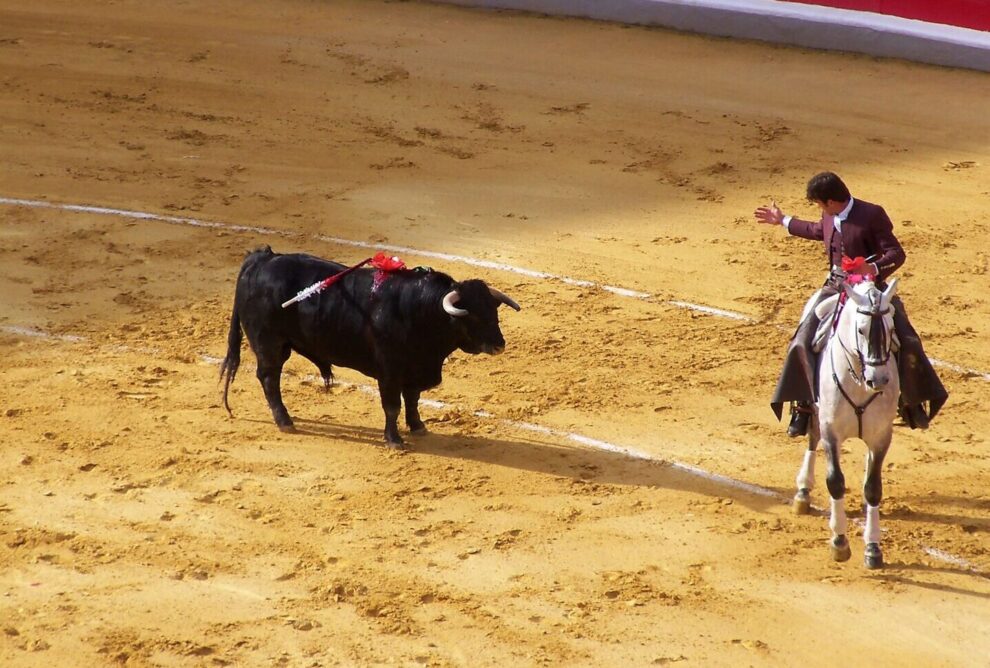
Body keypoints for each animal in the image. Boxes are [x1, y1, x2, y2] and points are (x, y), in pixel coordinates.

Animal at [220, 247, 524, 448]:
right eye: (472, 316)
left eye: (494, 311)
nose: (499, 345)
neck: (419, 310)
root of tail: (263, 258)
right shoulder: (389, 372)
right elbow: (392, 406)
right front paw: (394, 440)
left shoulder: (414, 369)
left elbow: (412, 400)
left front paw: (418, 427)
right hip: (269, 343)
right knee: (269, 378)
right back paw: (285, 421)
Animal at [796, 278, 904, 568]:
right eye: (861, 329)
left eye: (891, 328)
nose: (879, 379)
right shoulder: (831, 431)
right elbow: (835, 481)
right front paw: (839, 542)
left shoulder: (881, 436)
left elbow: (873, 488)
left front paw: (873, 548)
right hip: (815, 411)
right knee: (811, 436)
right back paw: (803, 490)